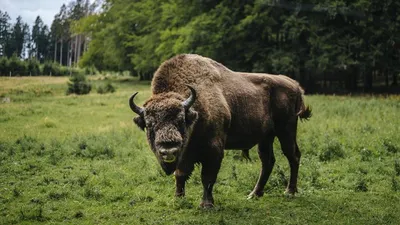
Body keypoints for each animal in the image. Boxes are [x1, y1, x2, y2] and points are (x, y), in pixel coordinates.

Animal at [130, 54, 310, 207]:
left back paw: (289, 191)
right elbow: (180, 174)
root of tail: (295, 85)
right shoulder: (185, 153)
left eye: (181, 120)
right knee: (268, 161)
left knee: (292, 155)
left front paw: (206, 204)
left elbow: (207, 177)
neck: (195, 111)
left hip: (286, 130)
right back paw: (254, 194)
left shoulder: (214, 149)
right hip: (266, 137)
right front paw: (178, 199)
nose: (168, 150)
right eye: (149, 124)